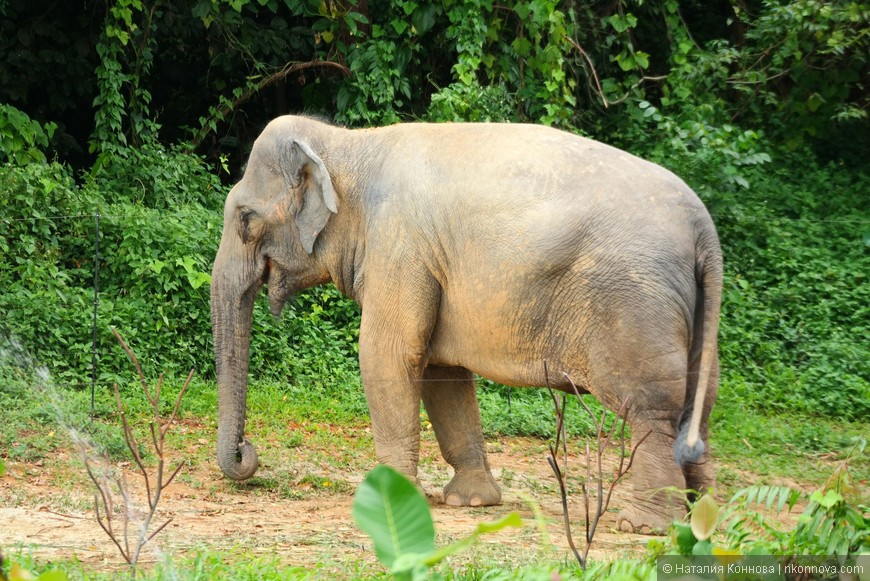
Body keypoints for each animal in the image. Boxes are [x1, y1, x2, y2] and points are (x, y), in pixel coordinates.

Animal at [213, 114, 724, 536]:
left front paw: (388, 499)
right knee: (698, 405)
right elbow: (442, 373)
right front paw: (473, 502)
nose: (247, 452)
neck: (347, 144)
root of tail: (704, 227)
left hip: (635, 305)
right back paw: (701, 516)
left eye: (245, 219)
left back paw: (645, 526)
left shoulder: (399, 244)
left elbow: (387, 356)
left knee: (650, 409)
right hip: (693, 313)